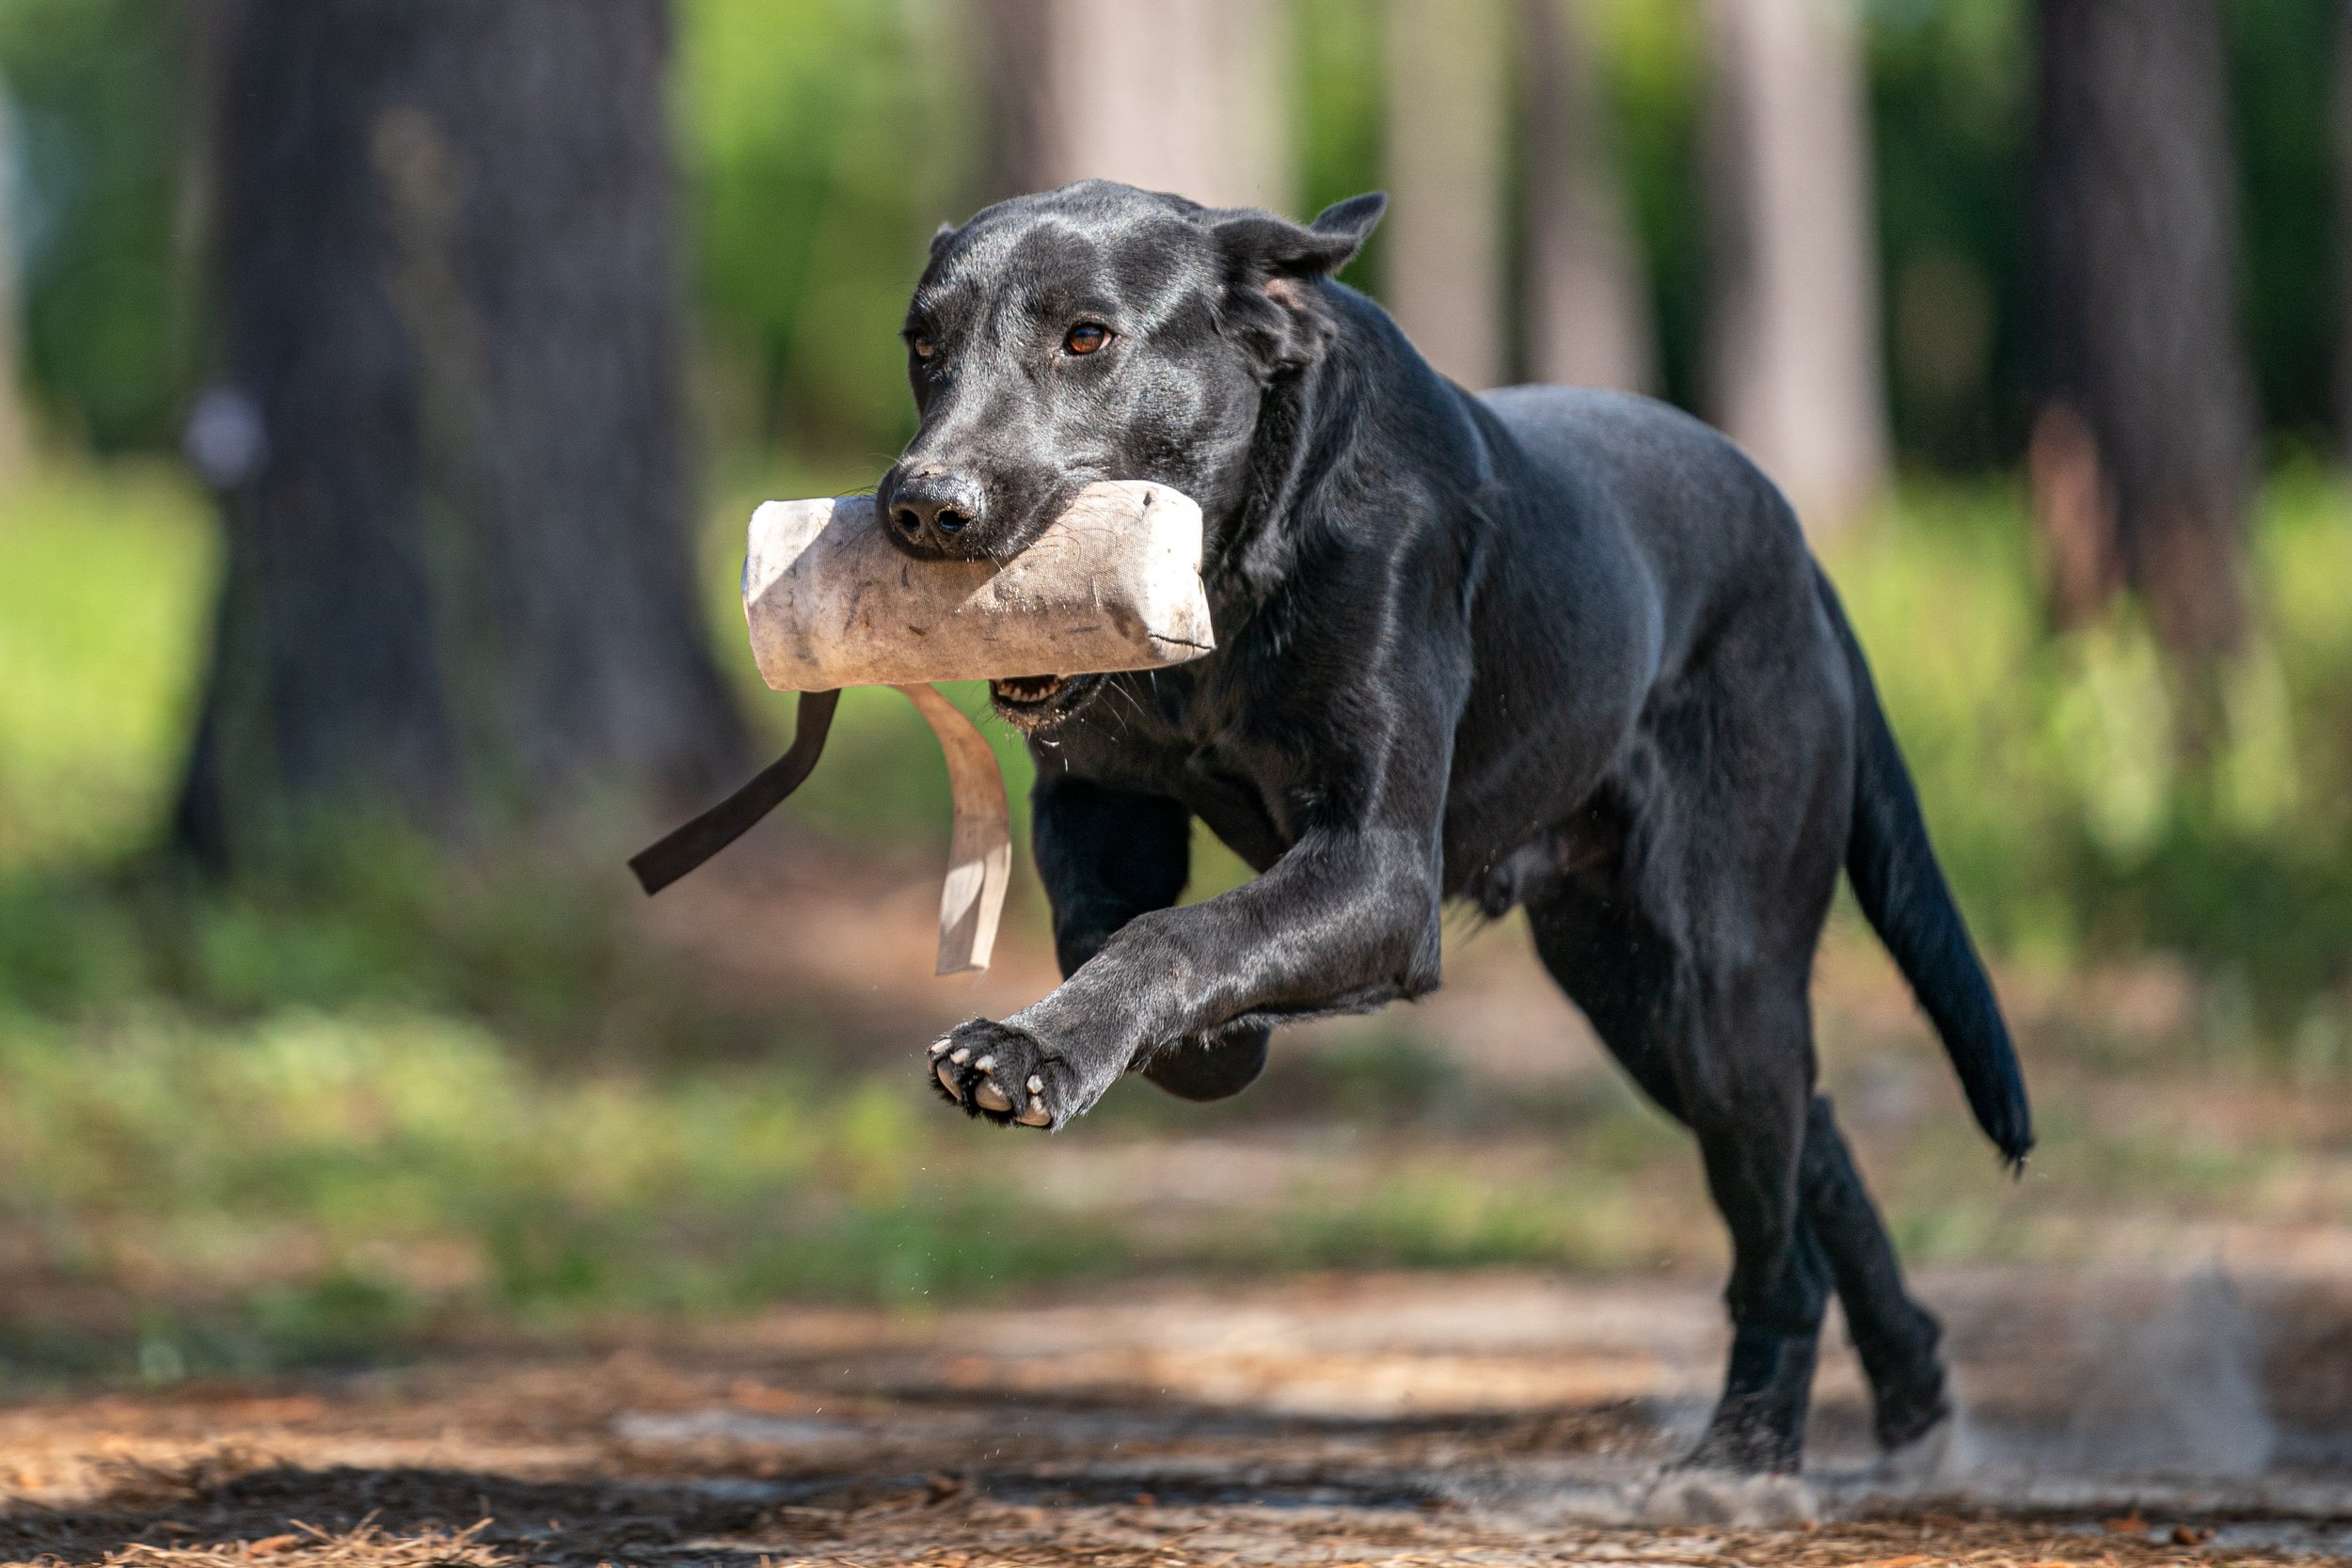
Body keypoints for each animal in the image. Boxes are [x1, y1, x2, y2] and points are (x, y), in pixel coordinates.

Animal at [875, 181, 2032, 1476]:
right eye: (921, 343)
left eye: (1086, 337)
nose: (921, 505)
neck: (1230, 579)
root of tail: (1795, 545)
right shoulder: (1099, 802)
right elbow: (1109, 930)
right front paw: (1197, 1046)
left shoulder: (1379, 870)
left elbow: (1180, 934)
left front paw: (1040, 1049)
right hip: (1635, 995)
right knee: (1811, 1146)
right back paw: (1911, 1393)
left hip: (1723, 976)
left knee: (1775, 1235)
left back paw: (1745, 1453)